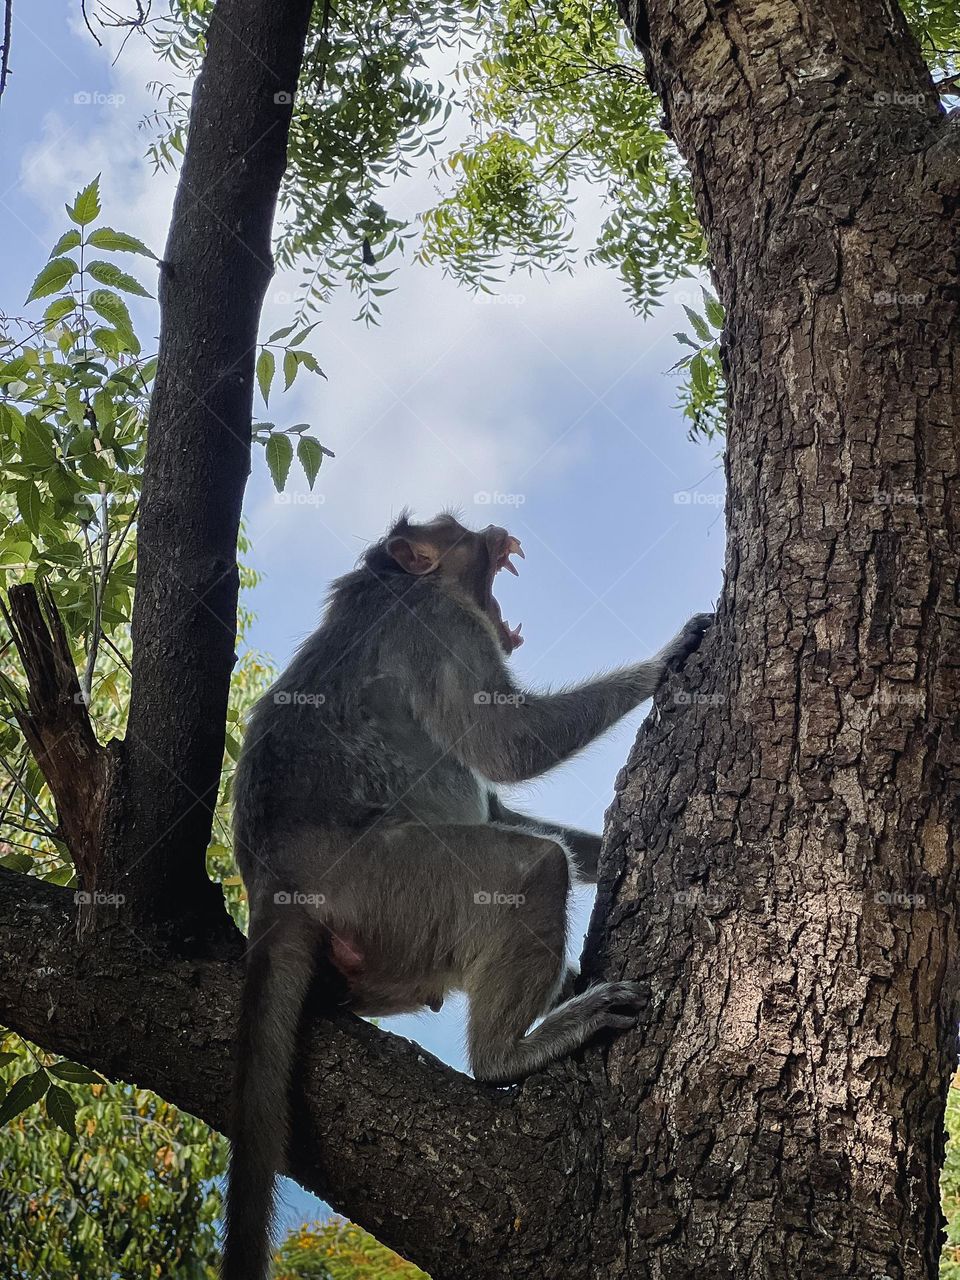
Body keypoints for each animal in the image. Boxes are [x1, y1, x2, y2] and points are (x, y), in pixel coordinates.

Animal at [223, 510, 712, 1280]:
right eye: (454, 529)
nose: (494, 527)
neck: (388, 583)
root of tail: (276, 887)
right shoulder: (438, 625)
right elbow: (508, 746)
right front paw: (665, 660)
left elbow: (499, 793)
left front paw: (609, 847)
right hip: (393, 884)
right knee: (531, 868)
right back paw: (507, 1054)